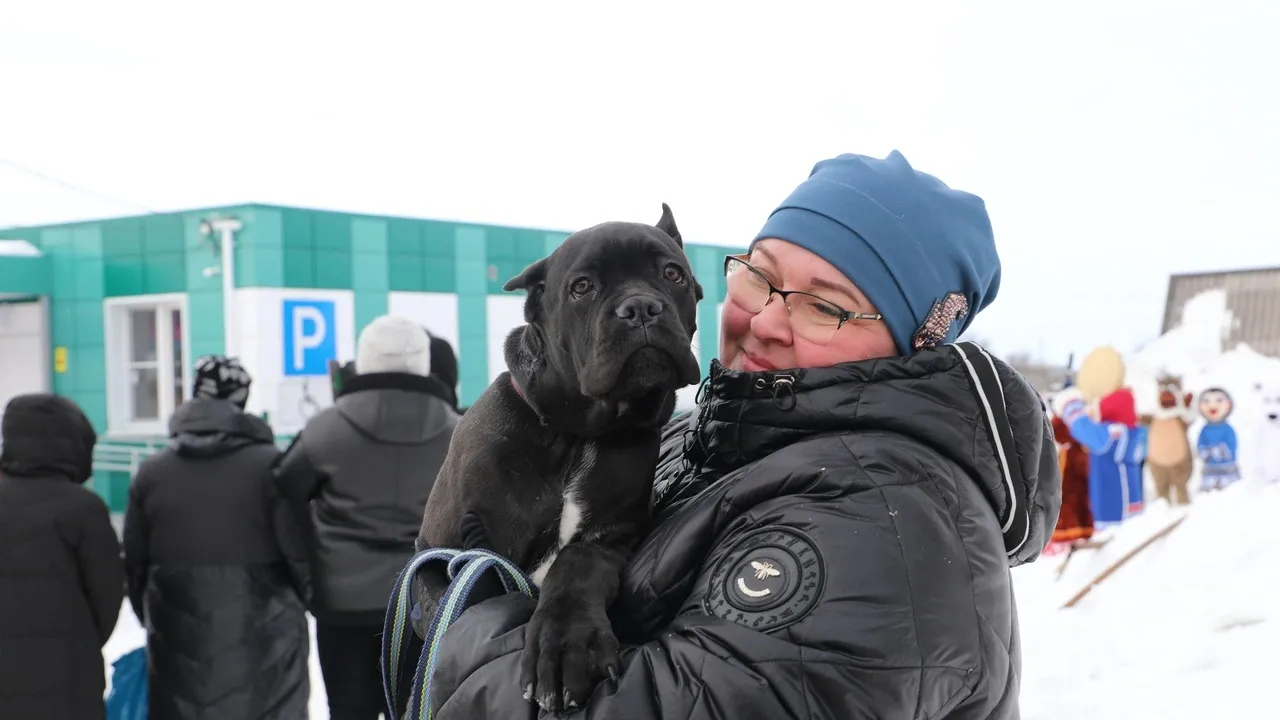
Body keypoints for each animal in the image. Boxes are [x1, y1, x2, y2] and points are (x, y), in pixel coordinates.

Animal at [417, 204, 701, 707]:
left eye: (673, 274)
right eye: (582, 287)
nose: (641, 308)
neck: (577, 434)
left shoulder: (611, 538)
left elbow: (577, 564)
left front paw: (568, 642)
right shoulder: (436, 551)